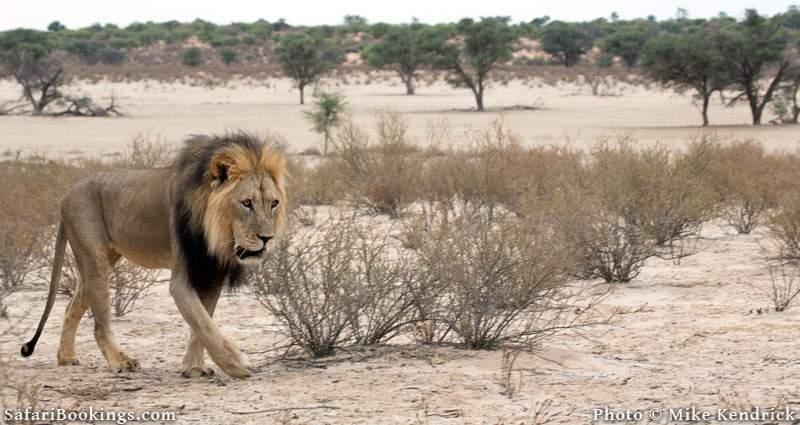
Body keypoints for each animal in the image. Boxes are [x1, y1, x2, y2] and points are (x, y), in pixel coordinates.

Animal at [18, 133, 288, 378]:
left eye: (273, 203)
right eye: (247, 203)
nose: (267, 238)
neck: (218, 232)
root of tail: (66, 195)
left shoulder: (210, 273)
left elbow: (202, 323)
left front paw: (194, 368)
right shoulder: (182, 279)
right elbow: (203, 323)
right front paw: (235, 364)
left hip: (103, 259)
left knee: (71, 307)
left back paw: (66, 356)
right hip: (93, 258)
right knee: (99, 324)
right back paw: (120, 361)